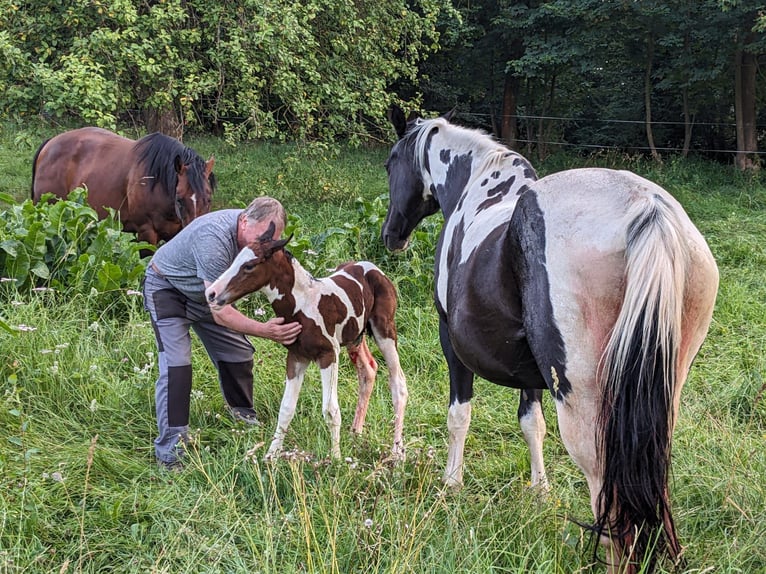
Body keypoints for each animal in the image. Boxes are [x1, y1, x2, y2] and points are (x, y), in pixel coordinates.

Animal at [204, 224, 408, 464]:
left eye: (249, 266)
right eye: (235, 259)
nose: (211, 293)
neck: (302, 305)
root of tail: (374, 268)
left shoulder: (329, 354)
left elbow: (330, 409)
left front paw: (336, 459)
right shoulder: (296, 357)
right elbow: (286, 408)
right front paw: (271, 456)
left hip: (384, 329)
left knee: (398, 384)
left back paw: (396, 451)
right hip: (355, 336)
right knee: (368, 369)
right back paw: (355, 433)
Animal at [384, 107, 720, 572]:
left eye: (390, 163)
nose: (391, 235)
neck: (478, 189)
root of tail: (647, 209)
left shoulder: (452, 343)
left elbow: (458, 415)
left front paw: (451, 484)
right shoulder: (529, 368)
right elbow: (532, 424)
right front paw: (540, 492)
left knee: (607, 491)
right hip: (658, 402)